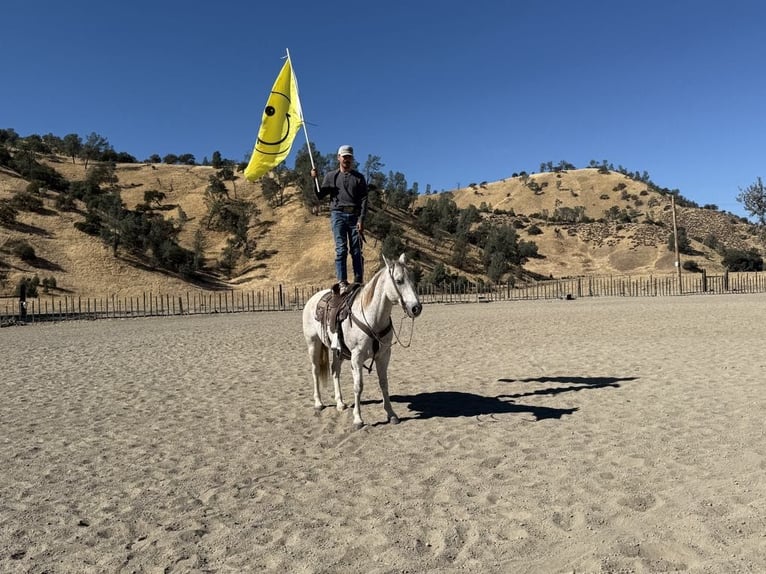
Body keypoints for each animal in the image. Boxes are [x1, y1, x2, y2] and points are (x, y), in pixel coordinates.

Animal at [302, 253, 423, 429]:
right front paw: (358, 419)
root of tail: (313, 298)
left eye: (413, 280)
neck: (373, 318)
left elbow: (384, 383)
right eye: (399, 280)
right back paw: (318, 403)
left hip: (337, 351)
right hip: (313, 344)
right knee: (315, 370)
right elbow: (358, 386)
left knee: (335, 371)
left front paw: (391, 414)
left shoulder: (384, 355)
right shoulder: (356, 357)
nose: (416, 308)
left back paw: (340, 403)